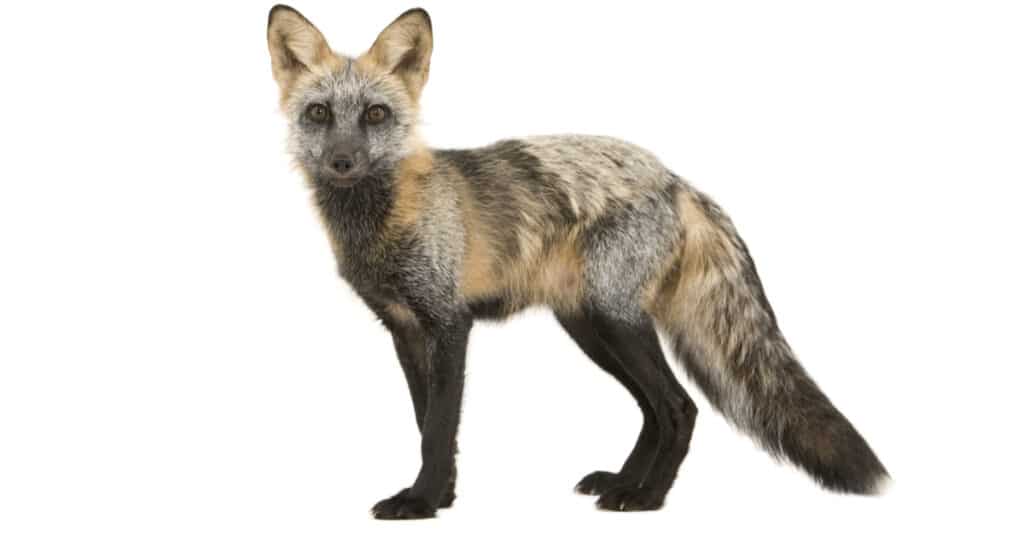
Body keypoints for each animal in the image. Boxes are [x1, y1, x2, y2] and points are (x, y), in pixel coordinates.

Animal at [266, 5, 888, 519]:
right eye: (319, 113)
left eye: (375, 114)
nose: (343, 161)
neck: (386, 223)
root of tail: (675, 179)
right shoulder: (404, 330)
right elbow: (427, 424)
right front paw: (440, 497)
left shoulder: (449, 324)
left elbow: (439, 429)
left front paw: (421, 502)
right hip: (589, 325)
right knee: (654, 412)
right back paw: (624, 482)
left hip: (616, 323)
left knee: (680, 407)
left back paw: (647, 498)